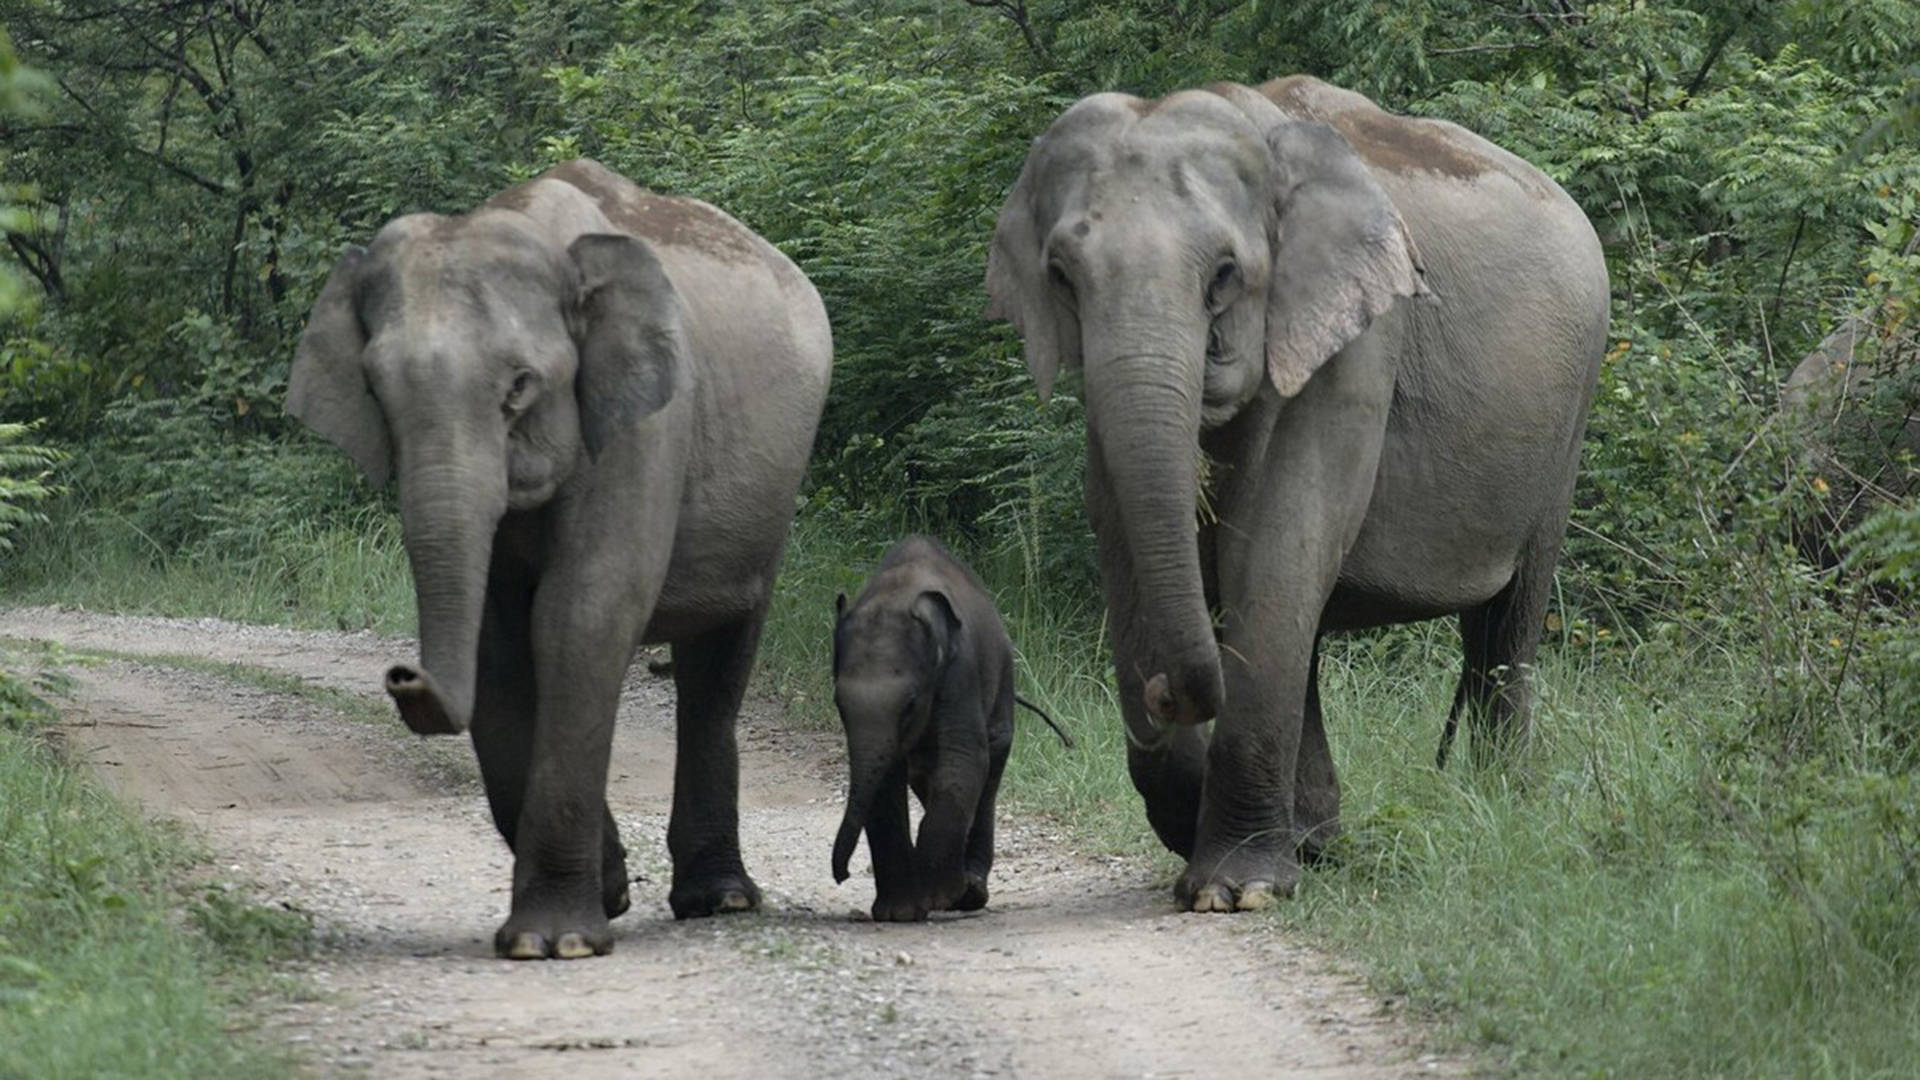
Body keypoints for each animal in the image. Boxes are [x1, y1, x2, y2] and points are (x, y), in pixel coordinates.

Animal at [286, 158, 832, 958]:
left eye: (520, 387)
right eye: (377, 393)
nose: (401, 675)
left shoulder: (647, 421)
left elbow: (581, 615)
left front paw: (558, 942)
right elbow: (499, 647)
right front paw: (600, 898)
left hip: (768, 498)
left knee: (718, 664)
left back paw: (722, 901)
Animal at [830, 535, 1072, 922]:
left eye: (911, 704)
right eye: (838, 703)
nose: (843, 875)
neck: (896, 593)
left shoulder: (960, 671)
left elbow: (963, 759)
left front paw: (937, 897)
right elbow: (885, 781)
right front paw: (900, 913)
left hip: (1001, 688)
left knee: (988, 767)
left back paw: (969, 893)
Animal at [985, 76, 1609, 912]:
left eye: (1224, 273)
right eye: (1060, 276)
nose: (1164, 695)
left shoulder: (1358, 342)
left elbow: (1280, 545)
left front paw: (1234, 890)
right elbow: (1120, 535)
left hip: (1567, 422)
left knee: (1508, 620)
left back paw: (1496, 802)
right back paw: (1318, 842)